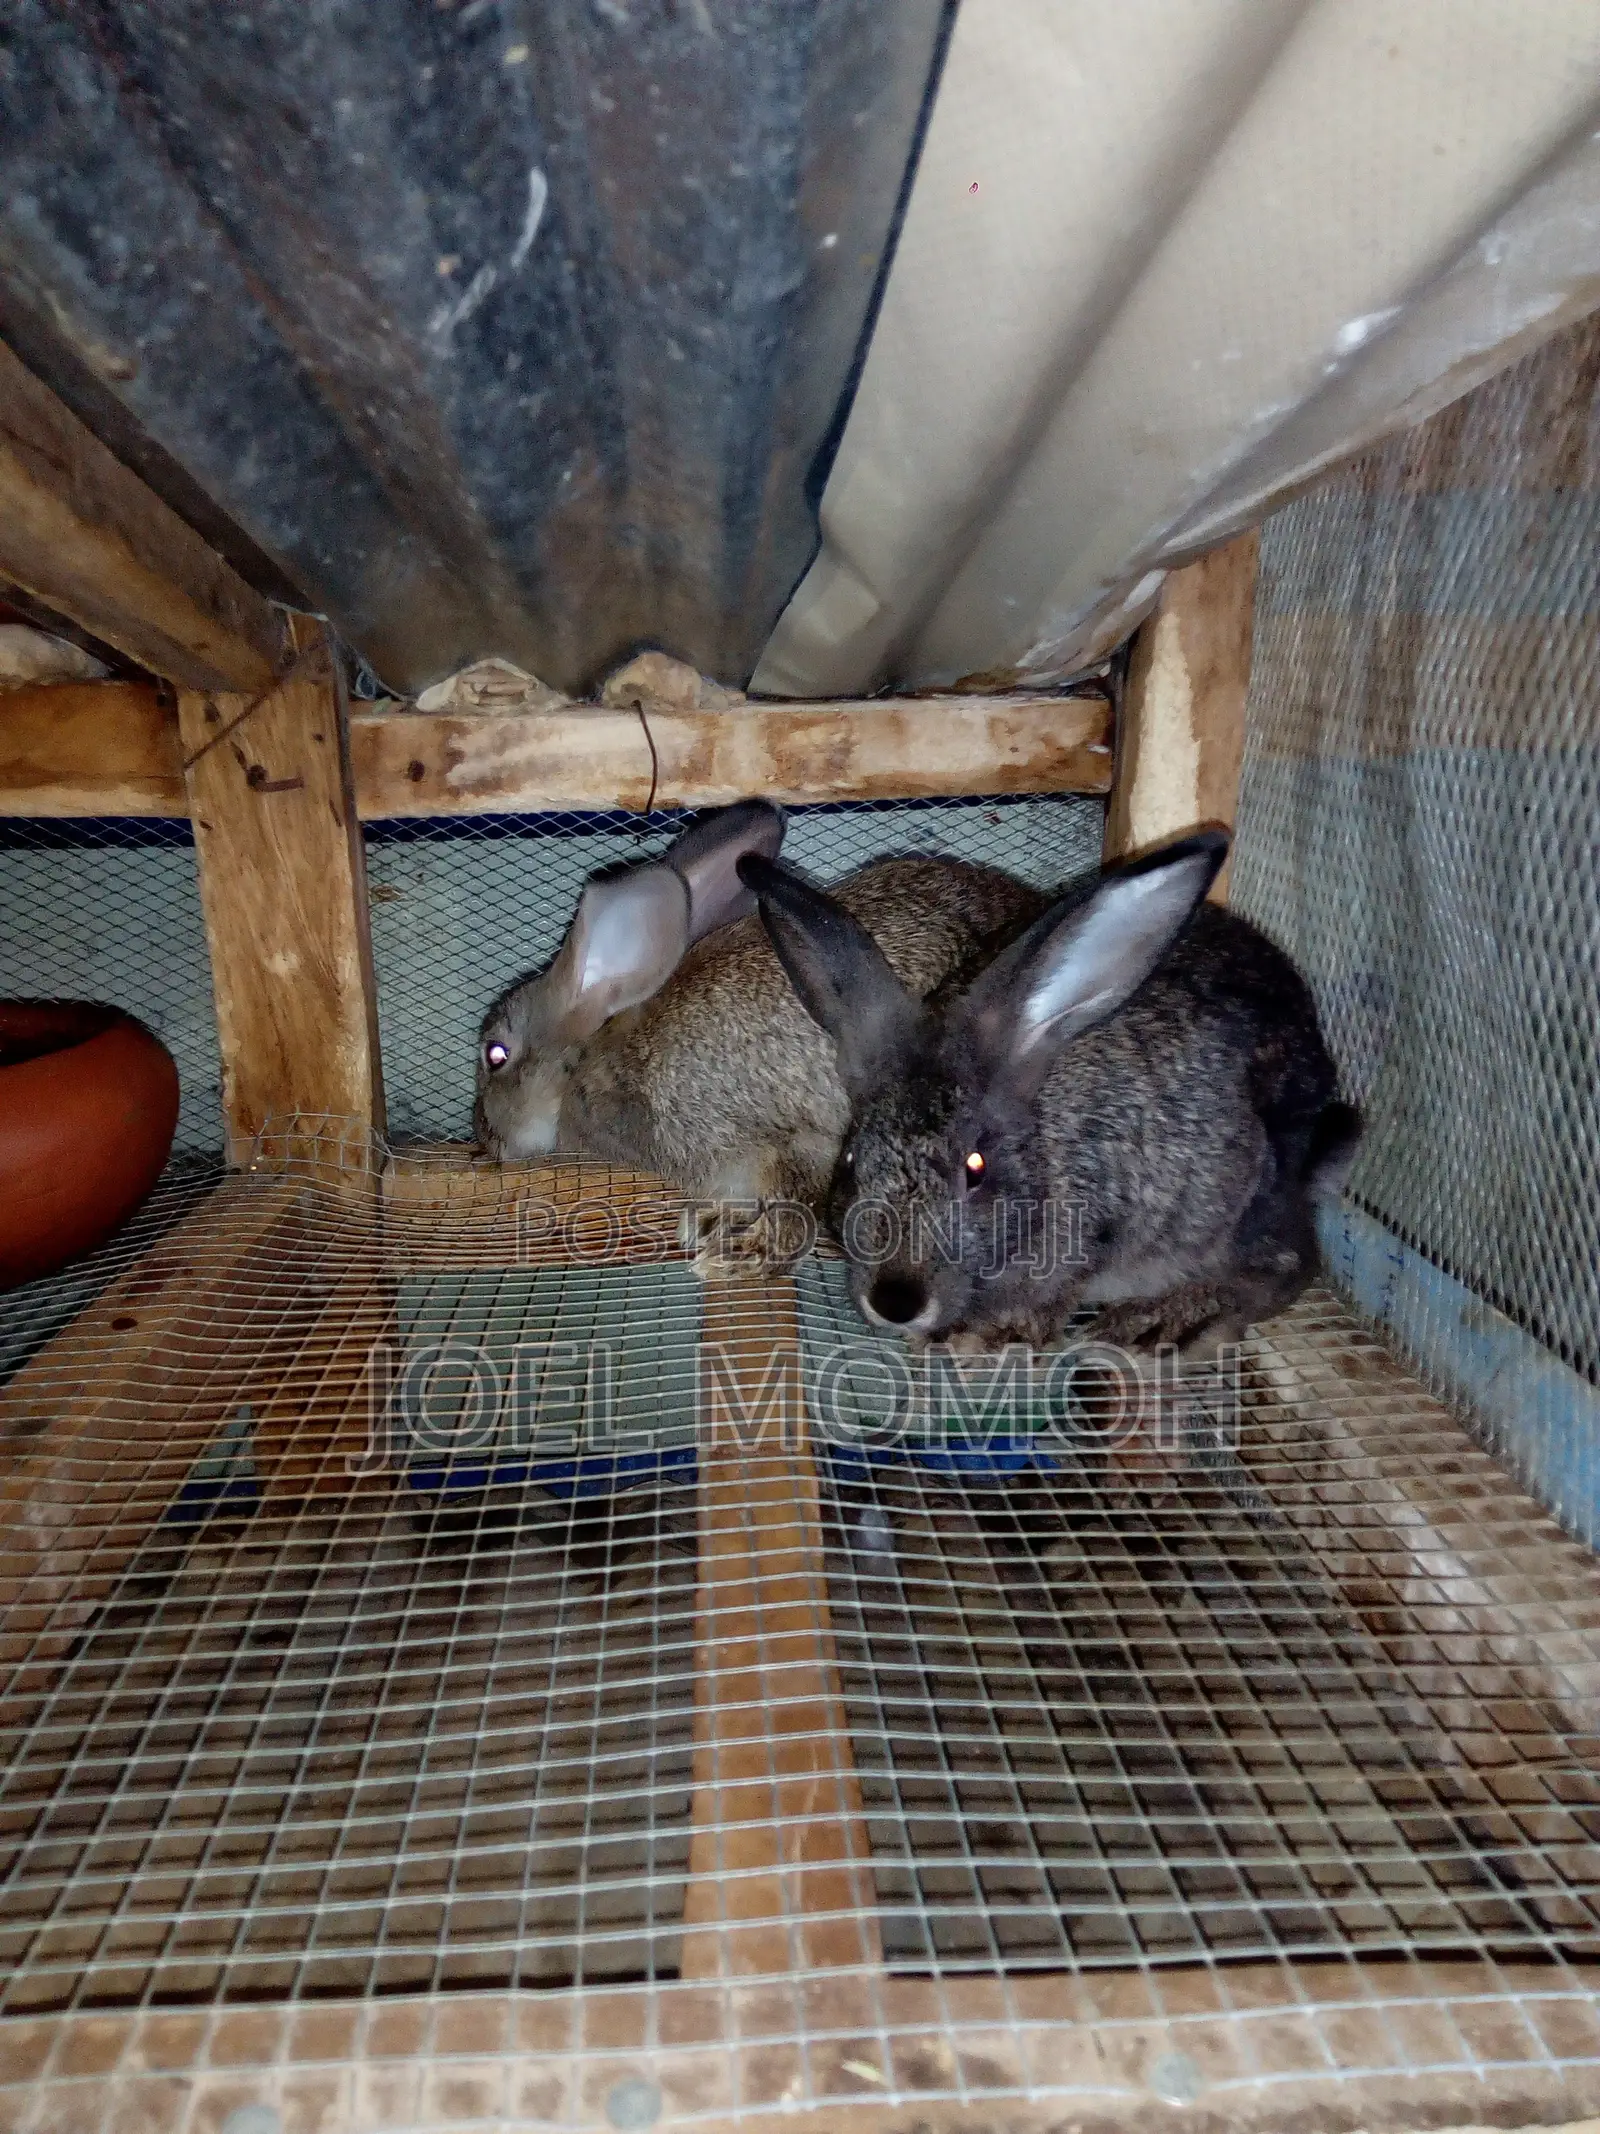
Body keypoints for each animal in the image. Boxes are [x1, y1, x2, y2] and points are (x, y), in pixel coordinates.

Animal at [476, 801, 1047, 1275]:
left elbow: (796, 1213)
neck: (592, 1059)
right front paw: (707, 1223)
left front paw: (735, 1255)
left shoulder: (795, 1140)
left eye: (495, 1054)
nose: (485, 1143)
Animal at [738, 828, 1361, 1356]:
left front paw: (987, 1340)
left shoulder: (1097, 1234)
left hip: (1243, 1204)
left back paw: (1165, 1322)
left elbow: (1053, 1298)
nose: (895, 1302)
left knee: (1290, 1263)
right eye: (849, 1161)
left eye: (975, 1168)